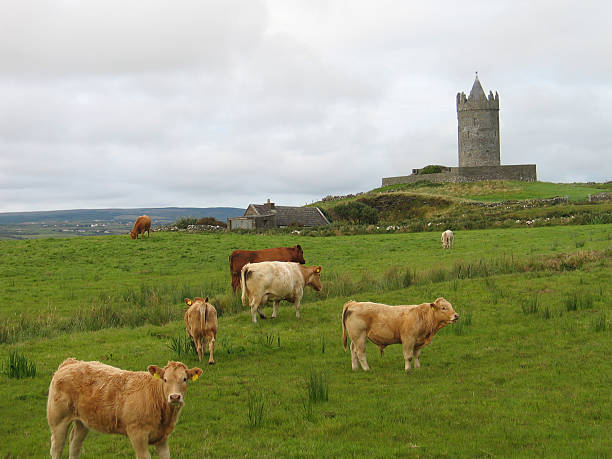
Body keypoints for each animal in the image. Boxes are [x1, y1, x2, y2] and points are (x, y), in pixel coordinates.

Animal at [48, 360, 201, 459]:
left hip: (83, 421)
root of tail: (69, 362)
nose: (175, 397)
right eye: (165, 379)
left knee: (75, 444)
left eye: (185, 379)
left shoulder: (162, 438)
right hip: (58, 421)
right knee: (56, 448)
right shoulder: (137, 434)